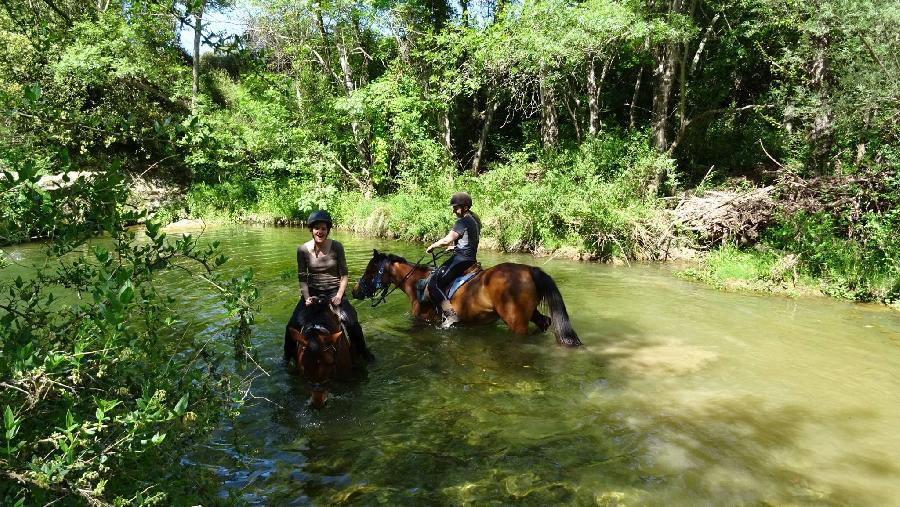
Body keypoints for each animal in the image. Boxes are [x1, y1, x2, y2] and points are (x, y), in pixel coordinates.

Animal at [352, 249, 584, 348]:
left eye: (370, 271)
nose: (354, 291)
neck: (416, 283)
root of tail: (529, 270)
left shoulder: (422, 321)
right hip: (532, 312)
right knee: (545, 322)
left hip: (515, 321)